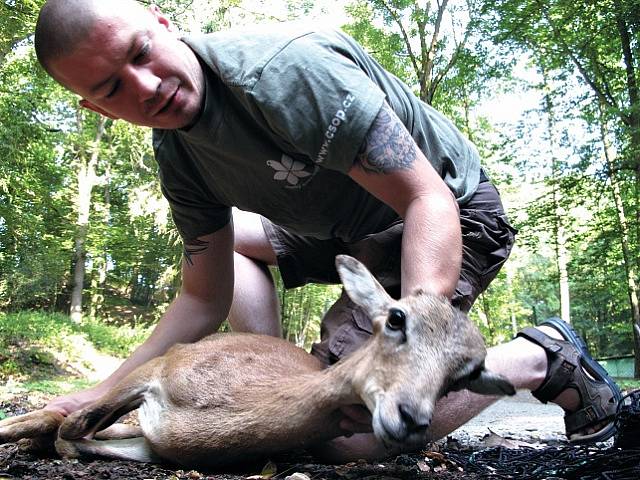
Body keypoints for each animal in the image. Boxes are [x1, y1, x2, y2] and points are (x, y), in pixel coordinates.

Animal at [0, 256, 512, 466]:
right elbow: (71, 422)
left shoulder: (155, 444)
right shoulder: (162, 364)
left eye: (466, 373)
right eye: (396, 318)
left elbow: (78, 438)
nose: (411, 417)